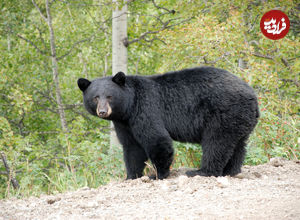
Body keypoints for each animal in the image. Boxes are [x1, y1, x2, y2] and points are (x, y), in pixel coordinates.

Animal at [77, 66, 258, 179]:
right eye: (95, 97)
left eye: (109, 96)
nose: (102, 111)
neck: (129, 107)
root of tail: (252, 95)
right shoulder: (124, 124)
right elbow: (132, 147)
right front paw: (131, 176)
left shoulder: (146, 109)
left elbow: (157, 139)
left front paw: (157, 174)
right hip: (239, 118)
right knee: (238, 145)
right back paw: (231, 170)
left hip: (223, 113)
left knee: (216, 143)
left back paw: (202, 171)